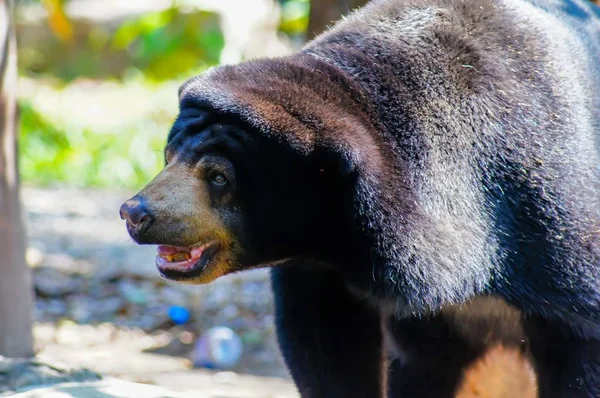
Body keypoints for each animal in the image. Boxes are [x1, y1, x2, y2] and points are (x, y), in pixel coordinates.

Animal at [118, 0, 600, 396]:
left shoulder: (545, 219)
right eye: (167, 156)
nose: (134, 212)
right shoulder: (325, 272)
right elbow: (327, 345)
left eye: (218, 177)